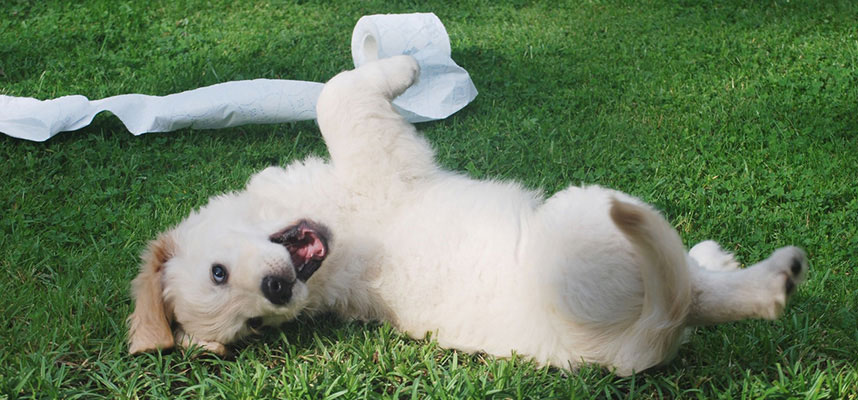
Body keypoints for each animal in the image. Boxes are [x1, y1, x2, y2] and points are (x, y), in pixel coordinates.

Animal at [125, 55, 804, 376]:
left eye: (218, 274)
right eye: (255, 324)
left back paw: (719, 258)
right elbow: (336, 94)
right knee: (695, 292)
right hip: (588, 221)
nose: (277, 292)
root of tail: (635, 345)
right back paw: (771, 280)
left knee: (695, 284)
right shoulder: (376, 154)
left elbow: (336, 90)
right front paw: (408, 68)